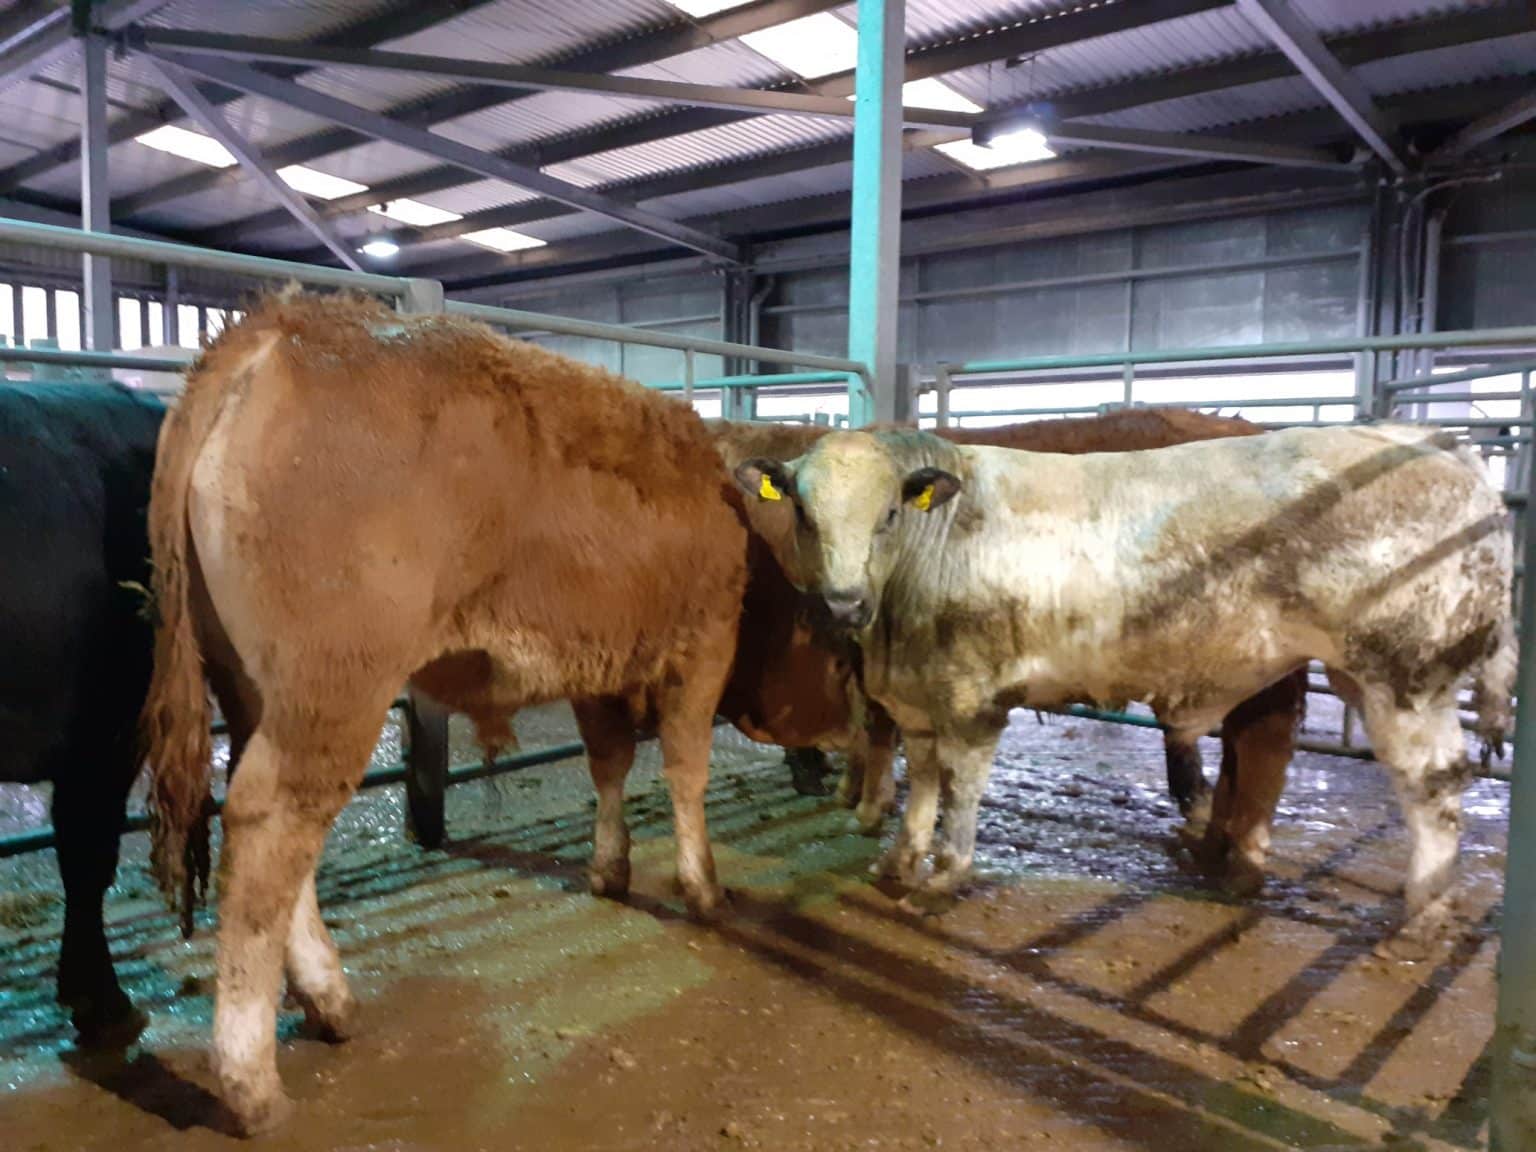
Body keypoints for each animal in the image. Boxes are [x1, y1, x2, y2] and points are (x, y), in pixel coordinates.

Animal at [142, 293, 747, 1134]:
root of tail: (280, 326)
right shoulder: (707, 640)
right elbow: (687, 767)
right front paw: (702, 886)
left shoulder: (599, 663)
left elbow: (610, 763)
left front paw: (611, 868)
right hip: (338, 683)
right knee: (270, 823)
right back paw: (250, 1079)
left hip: (257, 685)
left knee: (279, 833)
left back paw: (329, 1001)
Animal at [730, 424, 1514, 954]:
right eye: (801, 514)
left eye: (888, 515)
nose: (841, 605)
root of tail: (1429, 440)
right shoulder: (919, 698)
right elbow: (921, 778)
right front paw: (896, 860)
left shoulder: (974, 696)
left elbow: (962, 784)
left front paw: (946, 874)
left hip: (1408, 677)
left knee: (1433, 785)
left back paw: (1421, 917)